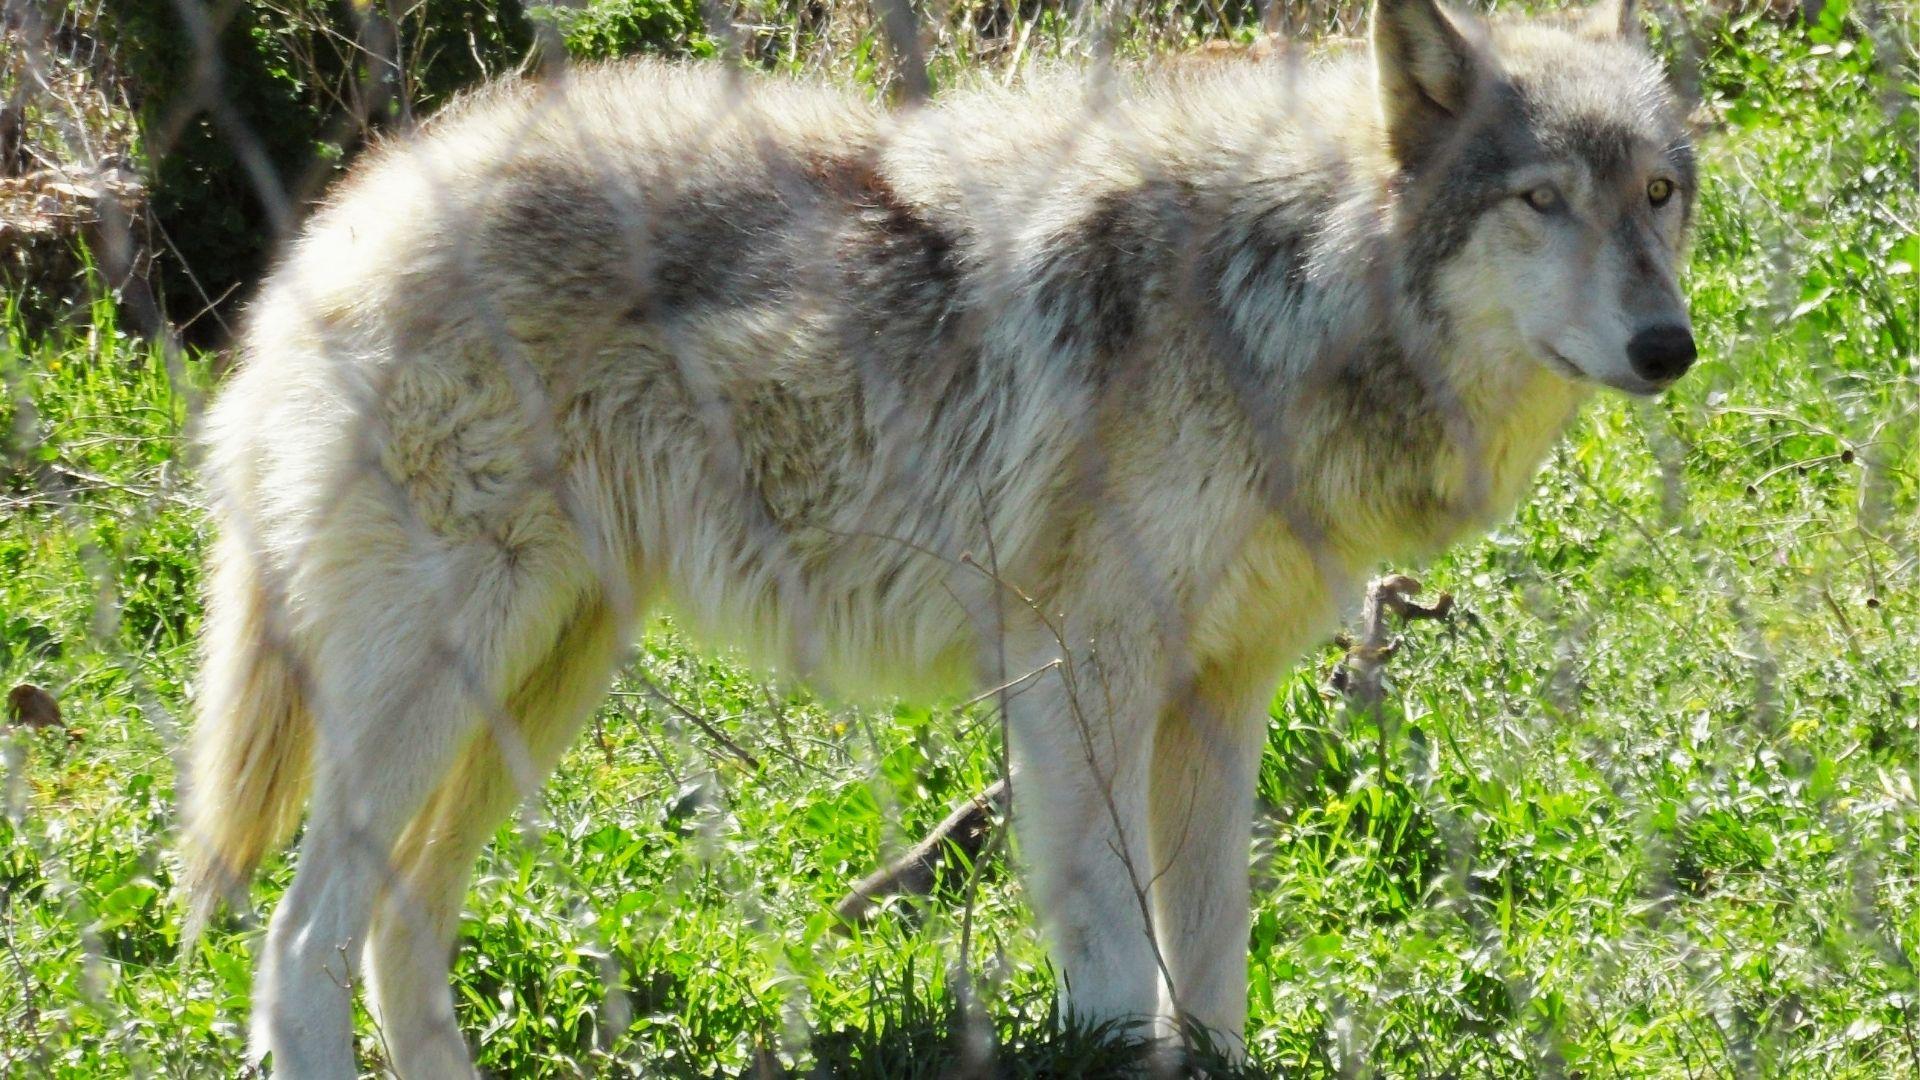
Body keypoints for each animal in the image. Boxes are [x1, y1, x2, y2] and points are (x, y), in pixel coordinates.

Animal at [180, 0, 1698, 1072]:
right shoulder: (1084, 677)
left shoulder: (1221, 695)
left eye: (1659, 194)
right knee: (299, 944)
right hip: (445, 679)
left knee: (395, 927)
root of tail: (344, 218)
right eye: (1541, 199)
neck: (1289, 289)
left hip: (544, 681)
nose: (1669, 346)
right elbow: (1115, 961)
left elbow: (1212, 968)